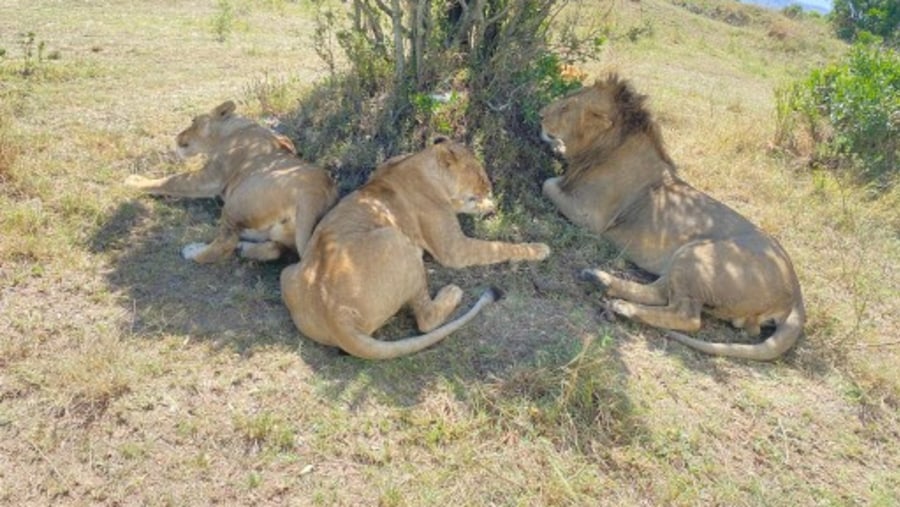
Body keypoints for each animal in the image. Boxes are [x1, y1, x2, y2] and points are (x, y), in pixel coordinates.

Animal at [125, 100, 338, 264]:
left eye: (193, 120)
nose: (177, 136)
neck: (237, 129)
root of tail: (315, 193)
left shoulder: (211, 177)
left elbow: (172, 181)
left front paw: (133, 182)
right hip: (278, 230)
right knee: (273, 249)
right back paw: (243, 247)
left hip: (235, 203)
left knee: (224, 245)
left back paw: (192, 252)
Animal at [280, 139, 548, 360]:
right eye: (481, 176)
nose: (491, 188)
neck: (419, 162)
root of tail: (335, 313)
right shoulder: (454, 249)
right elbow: (496, 247)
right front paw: (539, 248)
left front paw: (488, 205)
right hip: (398, 241)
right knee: (425, 319)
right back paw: (452, 292)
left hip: (288, 272)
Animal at [536, 75, 804, 362]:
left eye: (567, 107)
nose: (541, 115)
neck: (604, 148)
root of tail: (796, 292)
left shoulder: (591, 217)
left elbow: (547, 183)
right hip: (681, 263)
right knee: (659, 292)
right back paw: (597, 278)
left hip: (696, 256)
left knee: (688, 316)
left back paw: (622, 308)